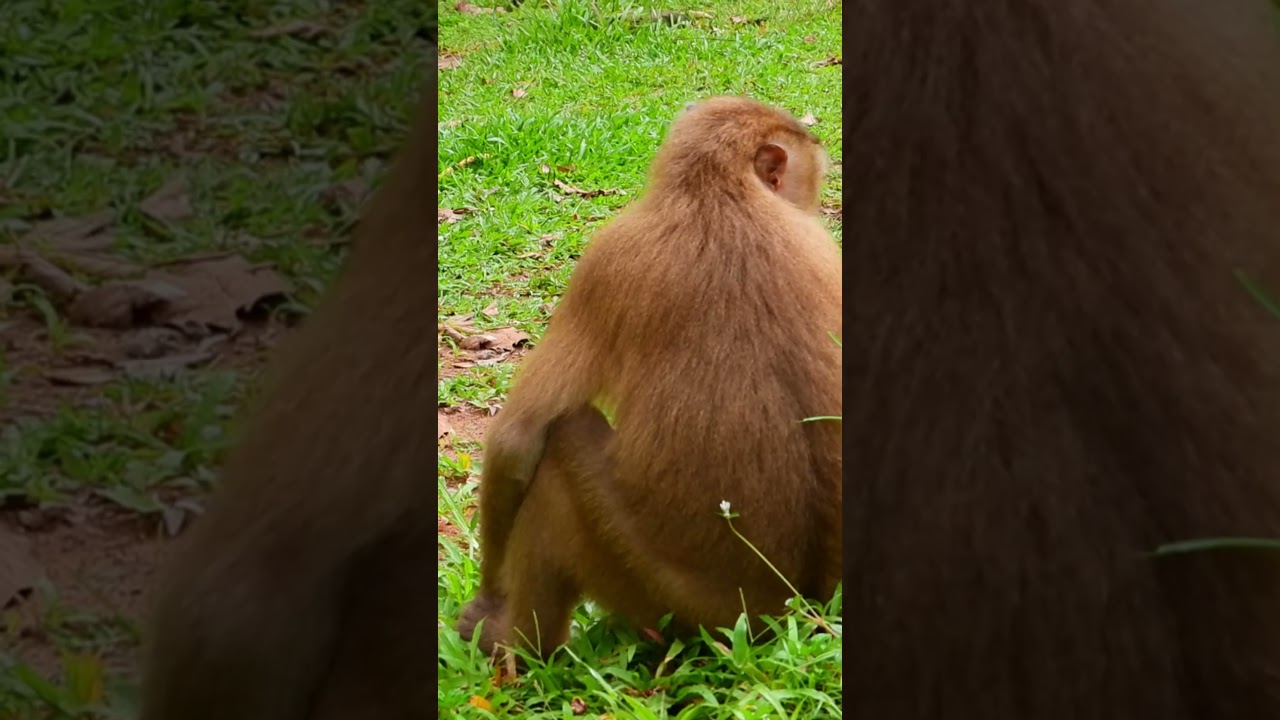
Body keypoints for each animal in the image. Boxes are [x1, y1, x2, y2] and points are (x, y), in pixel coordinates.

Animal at [456, 96, 843, 656]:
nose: (806, 201)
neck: (720, 193)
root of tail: (796, 606)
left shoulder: (603, 260)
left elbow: (517, 440)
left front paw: (488, 598)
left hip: (667, 592)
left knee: (561, 448)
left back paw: (516, 644)